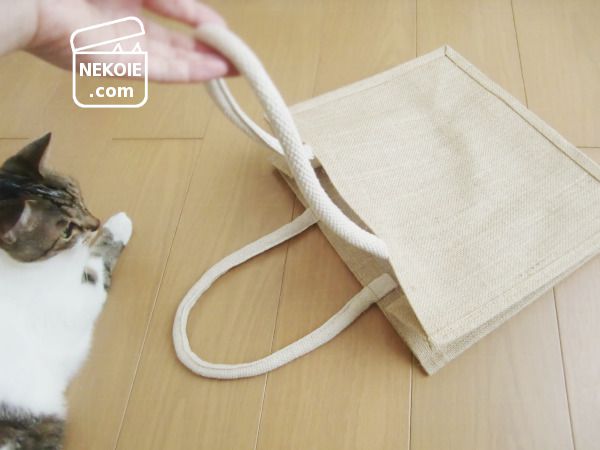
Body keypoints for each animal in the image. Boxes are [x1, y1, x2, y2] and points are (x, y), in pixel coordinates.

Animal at [0, 133, 132, 450]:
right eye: (65, 231)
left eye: (78, 195)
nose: (96, 222)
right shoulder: (73, 300)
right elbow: (97, 263)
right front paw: (120, 224)